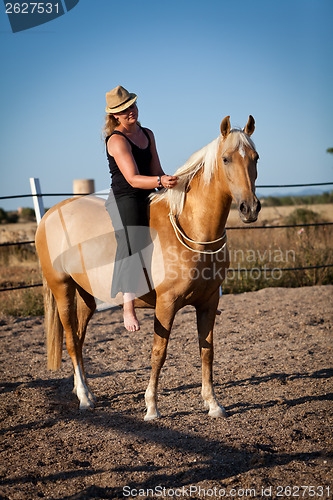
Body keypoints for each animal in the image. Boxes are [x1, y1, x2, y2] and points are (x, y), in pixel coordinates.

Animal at [35, 115, 260, 420]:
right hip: (62, 290)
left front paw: (213, 404)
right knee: (71, 341)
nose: (250, 208)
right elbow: (159, 352)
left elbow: (207, 350)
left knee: (79, 342)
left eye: (255, 158)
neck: (192, 227)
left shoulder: (209, 302)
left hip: (86, 297)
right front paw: (151, 407)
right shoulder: (166, 304)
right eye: (225, 159)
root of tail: (50, 214)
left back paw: (86, 391)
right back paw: (84, 398)